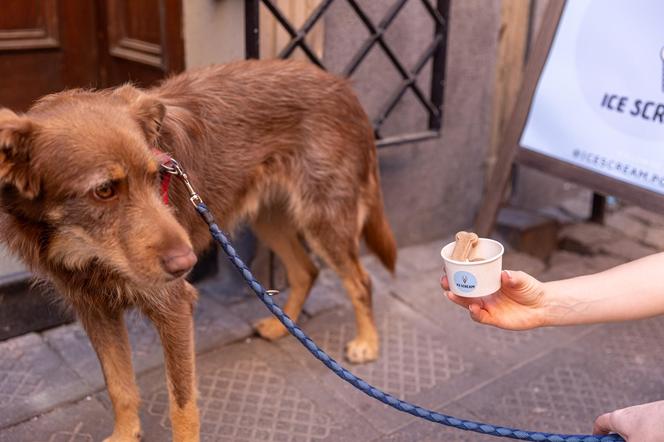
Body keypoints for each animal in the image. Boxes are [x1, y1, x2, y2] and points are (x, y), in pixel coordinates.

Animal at [0, 59, 394, 442]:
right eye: (104, 190)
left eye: (155, 176)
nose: (187, 262)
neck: (87, 250)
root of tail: (343, 87)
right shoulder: (95, 310)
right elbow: (119, 387)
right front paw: (125, 435)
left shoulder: (175, 305)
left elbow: (182, 403)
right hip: (270, 218)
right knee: (305, 271)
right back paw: (282, 327)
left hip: (322, 219)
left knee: (360, 280)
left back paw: (368, 343)